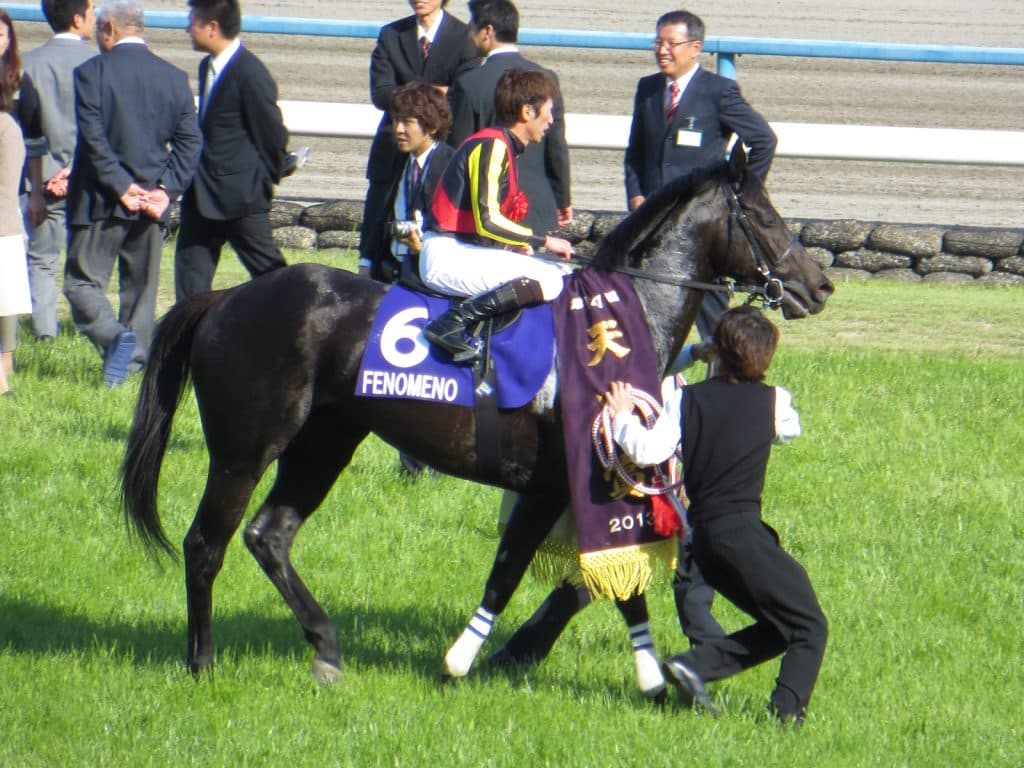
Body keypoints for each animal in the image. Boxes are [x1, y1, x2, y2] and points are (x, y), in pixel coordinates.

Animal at [121, 146, 832, 688]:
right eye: (765, 216)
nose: (820, 285)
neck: (613, 324)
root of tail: (225, 298)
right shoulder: (552, 483)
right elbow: (514, 569)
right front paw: (469, 657)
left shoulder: (586, 483)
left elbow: (590, 580)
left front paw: (535, 653)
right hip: (244, 450)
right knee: (205, 543)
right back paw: (202, 662)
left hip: (324, 442)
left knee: (269, 535)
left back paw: (325, 647)